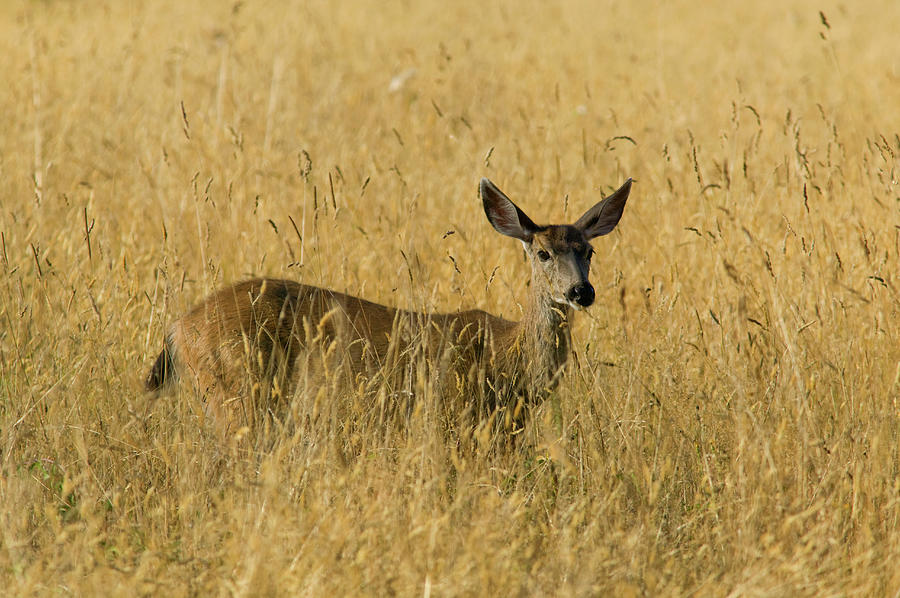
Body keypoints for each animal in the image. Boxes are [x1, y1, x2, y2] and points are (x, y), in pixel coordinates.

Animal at [144, 178, 628, 436]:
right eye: (542, 253)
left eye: (589, 251)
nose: (581, 292)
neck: (507, 359)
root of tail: (178, 328)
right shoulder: (450, 415)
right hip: (235, 391)